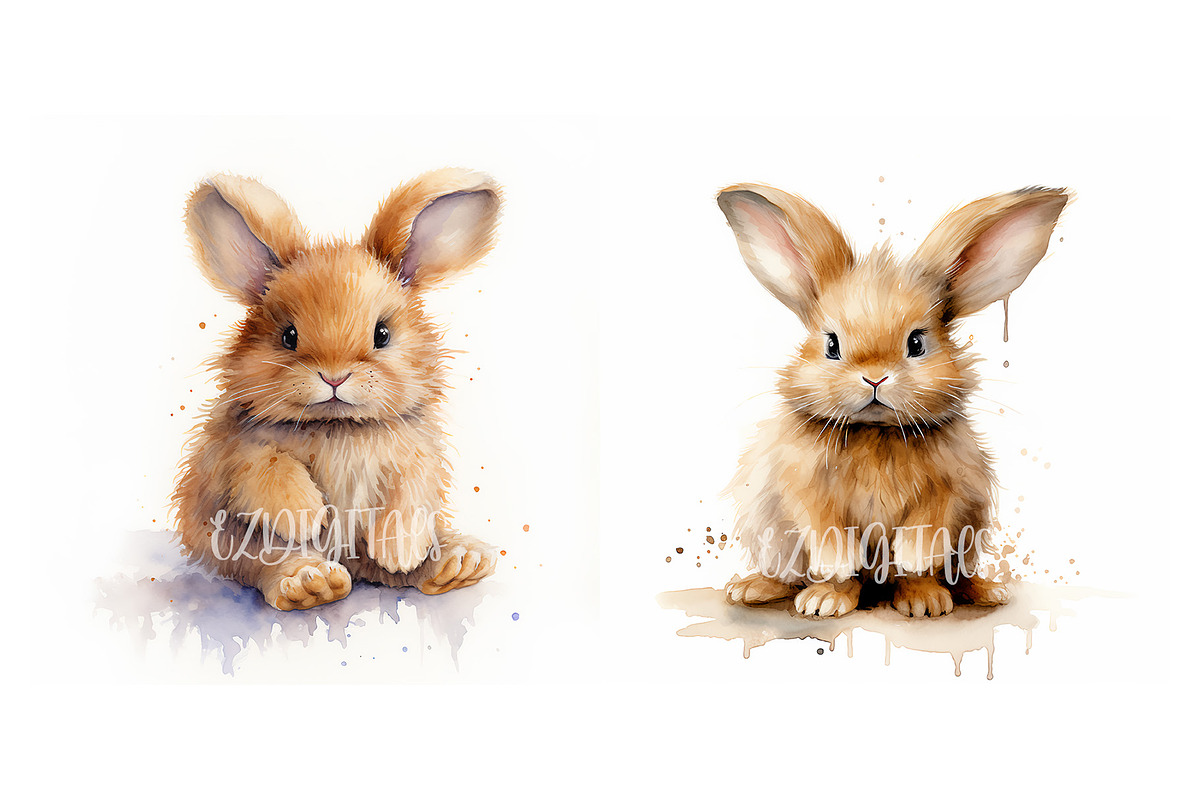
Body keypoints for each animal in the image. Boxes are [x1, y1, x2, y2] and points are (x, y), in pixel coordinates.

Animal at [172, 168, 502, 610]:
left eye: (382, 334)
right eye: (288, 336)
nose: (334, 377)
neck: (338, 426)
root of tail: (350, 562)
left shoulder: (417, 457)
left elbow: (412, 493)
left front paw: (399, 550)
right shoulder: (233, 455)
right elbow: (269, 467)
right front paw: (307, 515)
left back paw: (456, 562)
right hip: (243, 545)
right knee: (268, 564)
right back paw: (311, 583)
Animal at [716, 183, 1068, 618]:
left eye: (916, 343)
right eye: (831, 345)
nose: (875, 378)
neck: (876, 431)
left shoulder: (949, 489)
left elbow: (923, 537)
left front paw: (915, 568)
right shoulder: (802, 488)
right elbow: (828, 537)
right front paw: (833, 577)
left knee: (944, 575)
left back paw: (952, 596)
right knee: (801, 576)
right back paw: (793, 595)